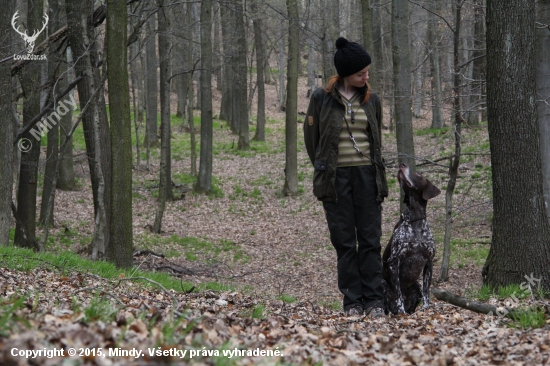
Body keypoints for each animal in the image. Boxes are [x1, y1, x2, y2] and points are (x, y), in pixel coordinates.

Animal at [382, 164, 442, 314]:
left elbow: (427, 291)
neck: (415, 220)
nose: (402, 165)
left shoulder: (429, 262)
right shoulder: (394, 262)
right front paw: (401, 311)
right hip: (382, 283)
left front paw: (426, 308)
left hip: (417, 285)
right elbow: (398, 294)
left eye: (419, 175)